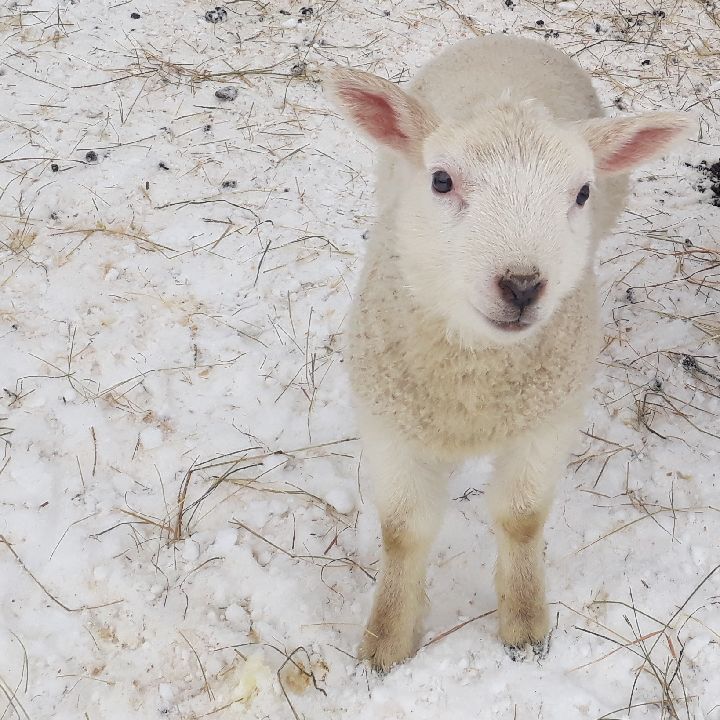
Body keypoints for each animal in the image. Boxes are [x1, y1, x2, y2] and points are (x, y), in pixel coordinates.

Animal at [324, 36, 688, 672]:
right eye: (441, 181)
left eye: (582, 192)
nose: (522, 286)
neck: (476, 375)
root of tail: (514, 40)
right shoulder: (388, 420)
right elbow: (403, 530)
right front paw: (385, 643)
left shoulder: (548, 420)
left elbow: (521, 519)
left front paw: (524, 626)